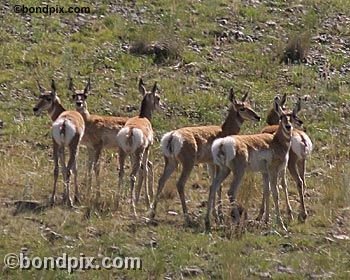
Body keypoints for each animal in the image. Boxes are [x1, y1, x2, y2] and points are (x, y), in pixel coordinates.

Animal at [117, 79, 162, 217]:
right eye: (158, 97)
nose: (162, 105)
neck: (143, 118)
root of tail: (130, 131)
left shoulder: (131, 155)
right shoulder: (147, 149)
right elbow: (146, 170)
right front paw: (148, 203)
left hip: (123, 153)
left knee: (121, 173)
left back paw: (116, 203)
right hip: (138, 153)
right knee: (133, 176)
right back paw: (133, 210)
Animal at [149, 89, 262, 225]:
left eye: (250, 104)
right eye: (242, 108)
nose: (258, 117)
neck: (224, 130)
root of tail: (172, 136)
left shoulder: (210, 163)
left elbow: (213, 184)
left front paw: (216, 215)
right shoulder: (217, 164)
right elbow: (219, 186)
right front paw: (219, 216)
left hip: (171, 162)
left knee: (161, 181)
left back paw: (152, 214)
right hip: (188, 163)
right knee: (180, 184)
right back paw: (187, 217)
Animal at [205, 96, 296, 232]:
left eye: (292, 116)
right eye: (281, 116)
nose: (288, 126)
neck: (276, 141)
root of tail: (222, 143)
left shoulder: (265, 172)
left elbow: (267, 191)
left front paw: (266, 220)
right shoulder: (273, 171)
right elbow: (276, 193)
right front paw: (281, 224)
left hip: (224, 170)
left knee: (213, 187)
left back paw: (208, 221)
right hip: (239, 172)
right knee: (231, 191)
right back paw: (238, 222)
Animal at [258, 93, 314, 221]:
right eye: (290, 113)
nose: (300, 122)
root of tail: (302, 138)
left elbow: (268, 188)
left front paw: (261, 214)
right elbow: (283, 184)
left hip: (292, 165)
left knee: (299, 182)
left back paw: (303, 214)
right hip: (301, 162)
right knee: (303, 182)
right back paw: (301, 212)